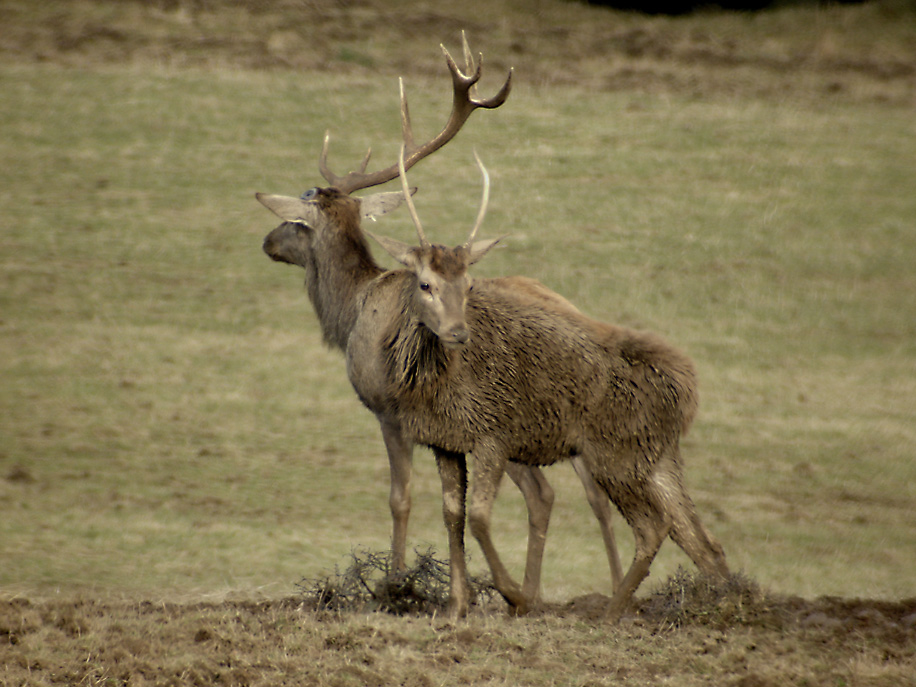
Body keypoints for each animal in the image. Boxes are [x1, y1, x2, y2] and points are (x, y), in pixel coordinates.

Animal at [262, 35, 628, 608]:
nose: (267, 241)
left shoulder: (388, 411)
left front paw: (395, 583)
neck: (351, 310)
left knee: (553, 491)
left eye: (297, 220)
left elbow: (400, 497)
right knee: (581, 490)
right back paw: (580, 590)